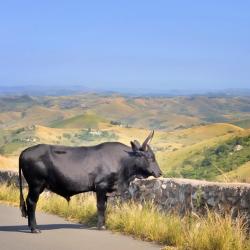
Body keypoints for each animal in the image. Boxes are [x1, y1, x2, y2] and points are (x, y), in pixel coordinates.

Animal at [18, 131, 161, 232]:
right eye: (150, 157)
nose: (160, 173)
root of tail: (25, 151)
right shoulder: (101, 186)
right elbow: (101, 206)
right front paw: (101, 226)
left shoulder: (106, 189)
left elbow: (105, 206)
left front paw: (104, 224)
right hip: (36, 184)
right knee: (31, 202)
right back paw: (34, 228)